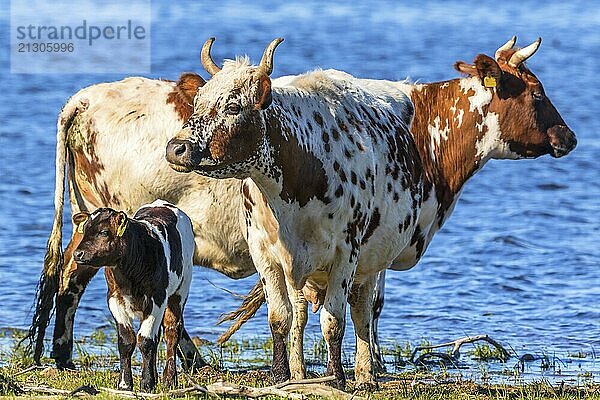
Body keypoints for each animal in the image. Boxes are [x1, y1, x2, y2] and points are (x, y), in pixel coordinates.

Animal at [168, 36, 576, 388]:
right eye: (198, 102)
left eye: (233, 106)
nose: (177, 148)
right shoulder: (265, 252)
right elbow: (281, 318)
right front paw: (282, 377)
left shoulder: (350, 252)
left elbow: (336, 318)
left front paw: (337, 378)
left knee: (358, 310)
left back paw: (362, 375)